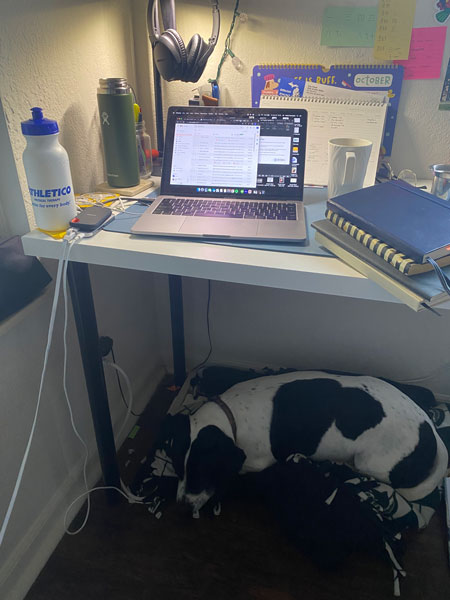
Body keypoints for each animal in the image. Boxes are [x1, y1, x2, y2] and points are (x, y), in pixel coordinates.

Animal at [163, 372, 448, 512]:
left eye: (203, 472)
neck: (229, 414)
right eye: (177, 468)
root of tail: (430, 431)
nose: (182, 506)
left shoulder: (256, 461)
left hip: (371, 462)